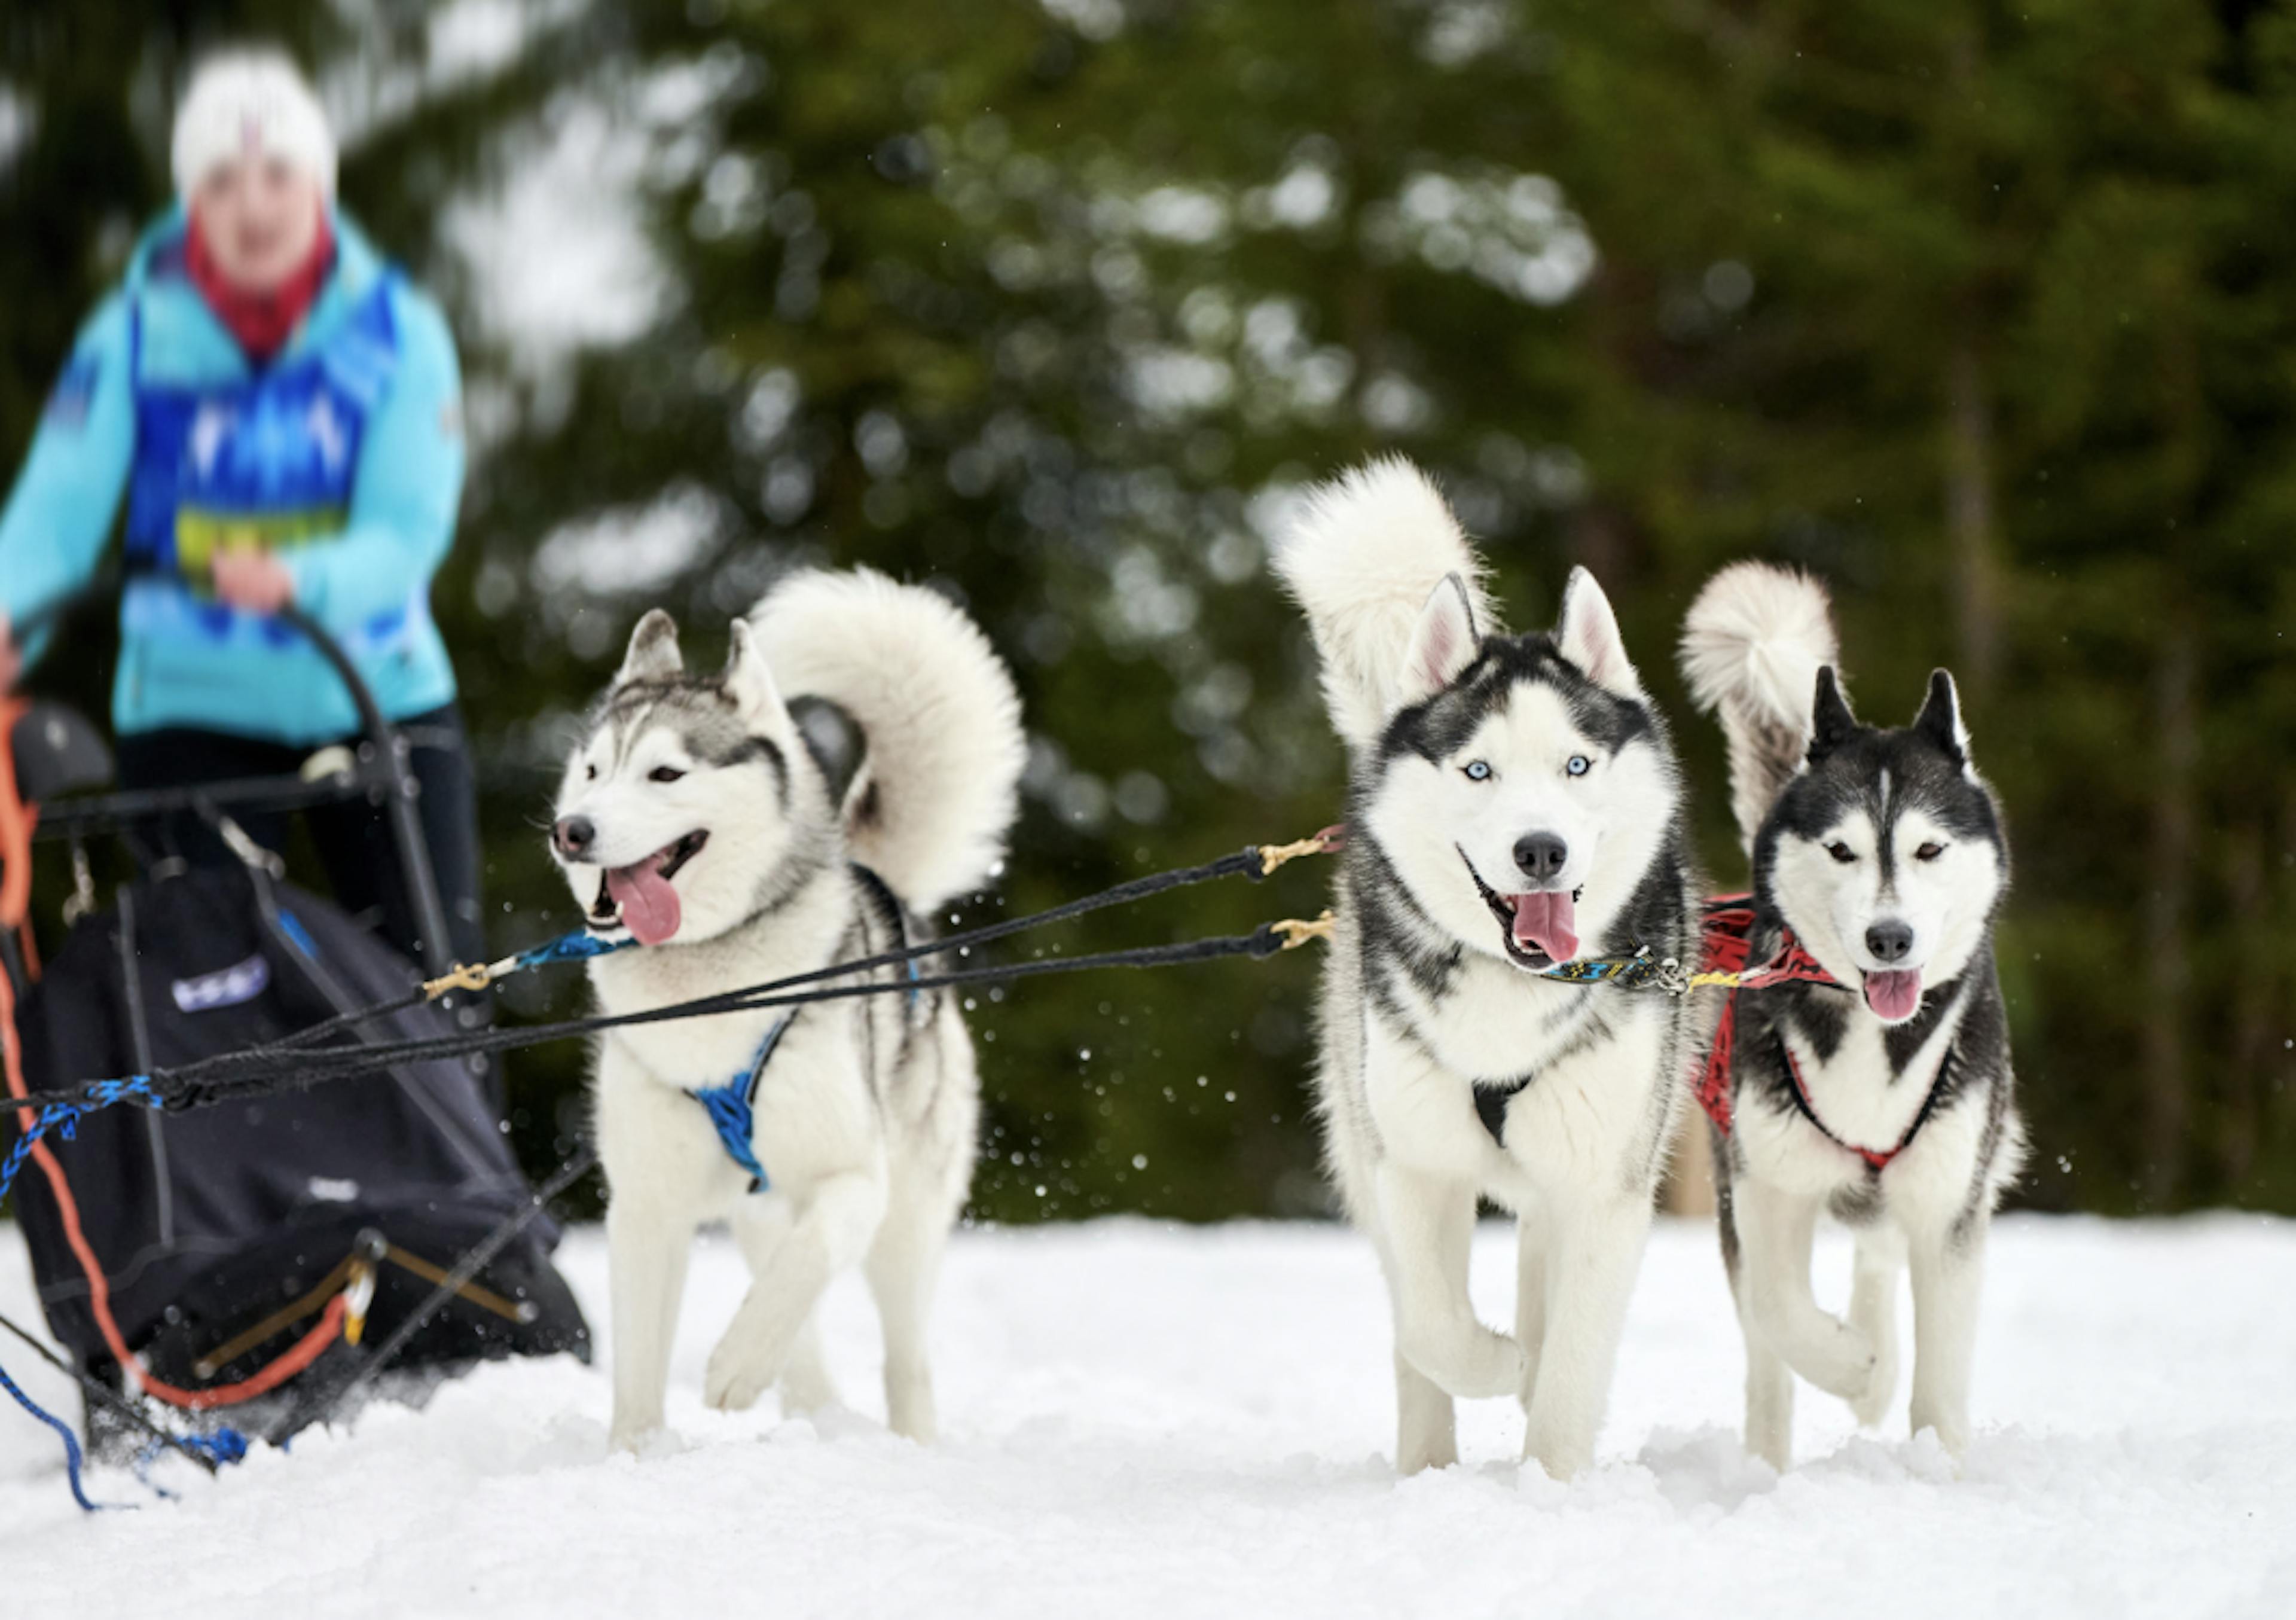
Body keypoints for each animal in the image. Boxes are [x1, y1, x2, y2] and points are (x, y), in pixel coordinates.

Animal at [546, 572, 1024, 1452]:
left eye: (665, 774)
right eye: (593, 770)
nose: (573, 831)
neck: (708, 984)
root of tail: (880, 881)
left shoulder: (854, 1177)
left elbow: (810, 1257)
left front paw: (735, 1366)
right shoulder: (647, 1208)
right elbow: (638, 1368)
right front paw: (637, 1456)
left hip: (906, 1220)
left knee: (899, 1350)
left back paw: (900, 1438)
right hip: (759, 1209)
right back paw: (813, 1413)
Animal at [1277, 457, 1708, 1479]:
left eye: (1578, 765)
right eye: (1478, 771)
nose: (1540, 851)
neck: (1513, 997)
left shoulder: (1604, 1189)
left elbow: (1572, 1363)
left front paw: (1551, 1479)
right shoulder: (1413, 1169)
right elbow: (1435, 1326)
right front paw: (1505, 1366)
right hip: (1364, 1133)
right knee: (1415, 1328)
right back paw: (1429, 1463)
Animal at [1671, 565, 2029, 1470]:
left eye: (1930, 849)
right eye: (1842, 850)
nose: (1889, 937)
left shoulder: (1950, 1205)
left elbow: (1940, 1372)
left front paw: (1935, 1459)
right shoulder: (1763, 1185)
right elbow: (1781, 1309)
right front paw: (1853, 1366)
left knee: (1877, 1253)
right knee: (1768, 1355)